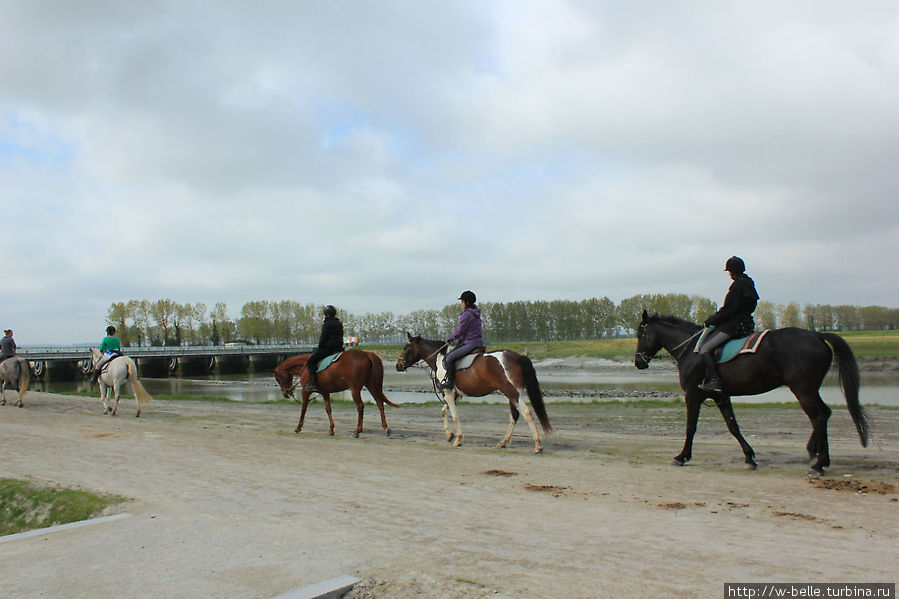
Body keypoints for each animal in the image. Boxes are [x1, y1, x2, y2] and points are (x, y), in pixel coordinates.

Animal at [268, 350, 400, 438]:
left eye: (277, 378)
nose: (286, 393)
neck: (305, 366)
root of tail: (368, 354)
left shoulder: (305, 392)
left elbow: (303, 409)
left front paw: (298, 427)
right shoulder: (325, 392)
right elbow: (328, 409)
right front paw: (331, 429)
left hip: (355, 389)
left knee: (360, 406)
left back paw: (357, 431)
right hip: (371, 385)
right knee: (379, 403)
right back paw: (386, 428)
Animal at [398, 332, 552, 454]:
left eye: (407, 348)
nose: (398, 365)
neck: (441, 360)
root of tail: (518, 357)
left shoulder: (448, 393)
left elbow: (454, 415)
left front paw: (458, 439)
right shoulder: (454, 395)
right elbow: (444, 411)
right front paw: (449, 434)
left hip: (512, 393)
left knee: (526, 413)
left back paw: (537, 445)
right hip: (512, 394)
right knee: (514, 416)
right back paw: (503, 442)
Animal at [636, 312, 868, 476]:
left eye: (640, 334)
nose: (638, 362)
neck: (692, 349)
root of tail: (817, 335)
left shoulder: (693, 395)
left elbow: (690, 427)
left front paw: (682, 456)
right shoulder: (721, 396)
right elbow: (733, 426)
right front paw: (749, 458)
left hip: (803, 390)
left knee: (818, 417)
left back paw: (819, 464)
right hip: (810, 389)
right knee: (824, 413)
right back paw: (815, 453)